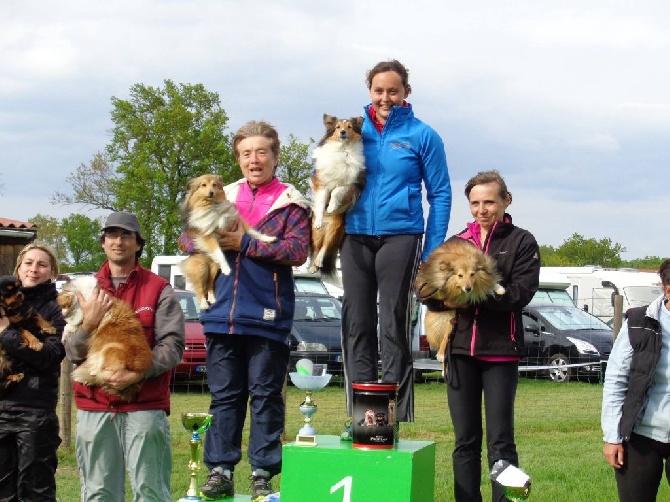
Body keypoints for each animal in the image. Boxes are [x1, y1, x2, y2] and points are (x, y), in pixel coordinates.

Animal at [180, 174, 276, 310]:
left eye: (214, 185)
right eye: (203, 185)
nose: (211, 192)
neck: (212, 206)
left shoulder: (235, 222)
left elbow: (252, 232)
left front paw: (269, 239)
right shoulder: (208, 235)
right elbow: (218, 251)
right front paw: (227, 268)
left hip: (214, 267)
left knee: (209, 284)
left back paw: (212, 298)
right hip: (201, 267)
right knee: (199, 287)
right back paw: (204, 304)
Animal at [308, 114, 364, 278]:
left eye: (349, 127)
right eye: (338, 127)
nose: (343, 132)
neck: (342, 149)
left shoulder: (350, 183)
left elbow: (337, 191)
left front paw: (332, 207)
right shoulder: (322, 183)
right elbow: (321, 202)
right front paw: (320, 217)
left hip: (335, 230)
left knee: (325, 247)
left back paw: (319, 262)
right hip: (316, 235)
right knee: (316, 249)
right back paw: (313, 267)